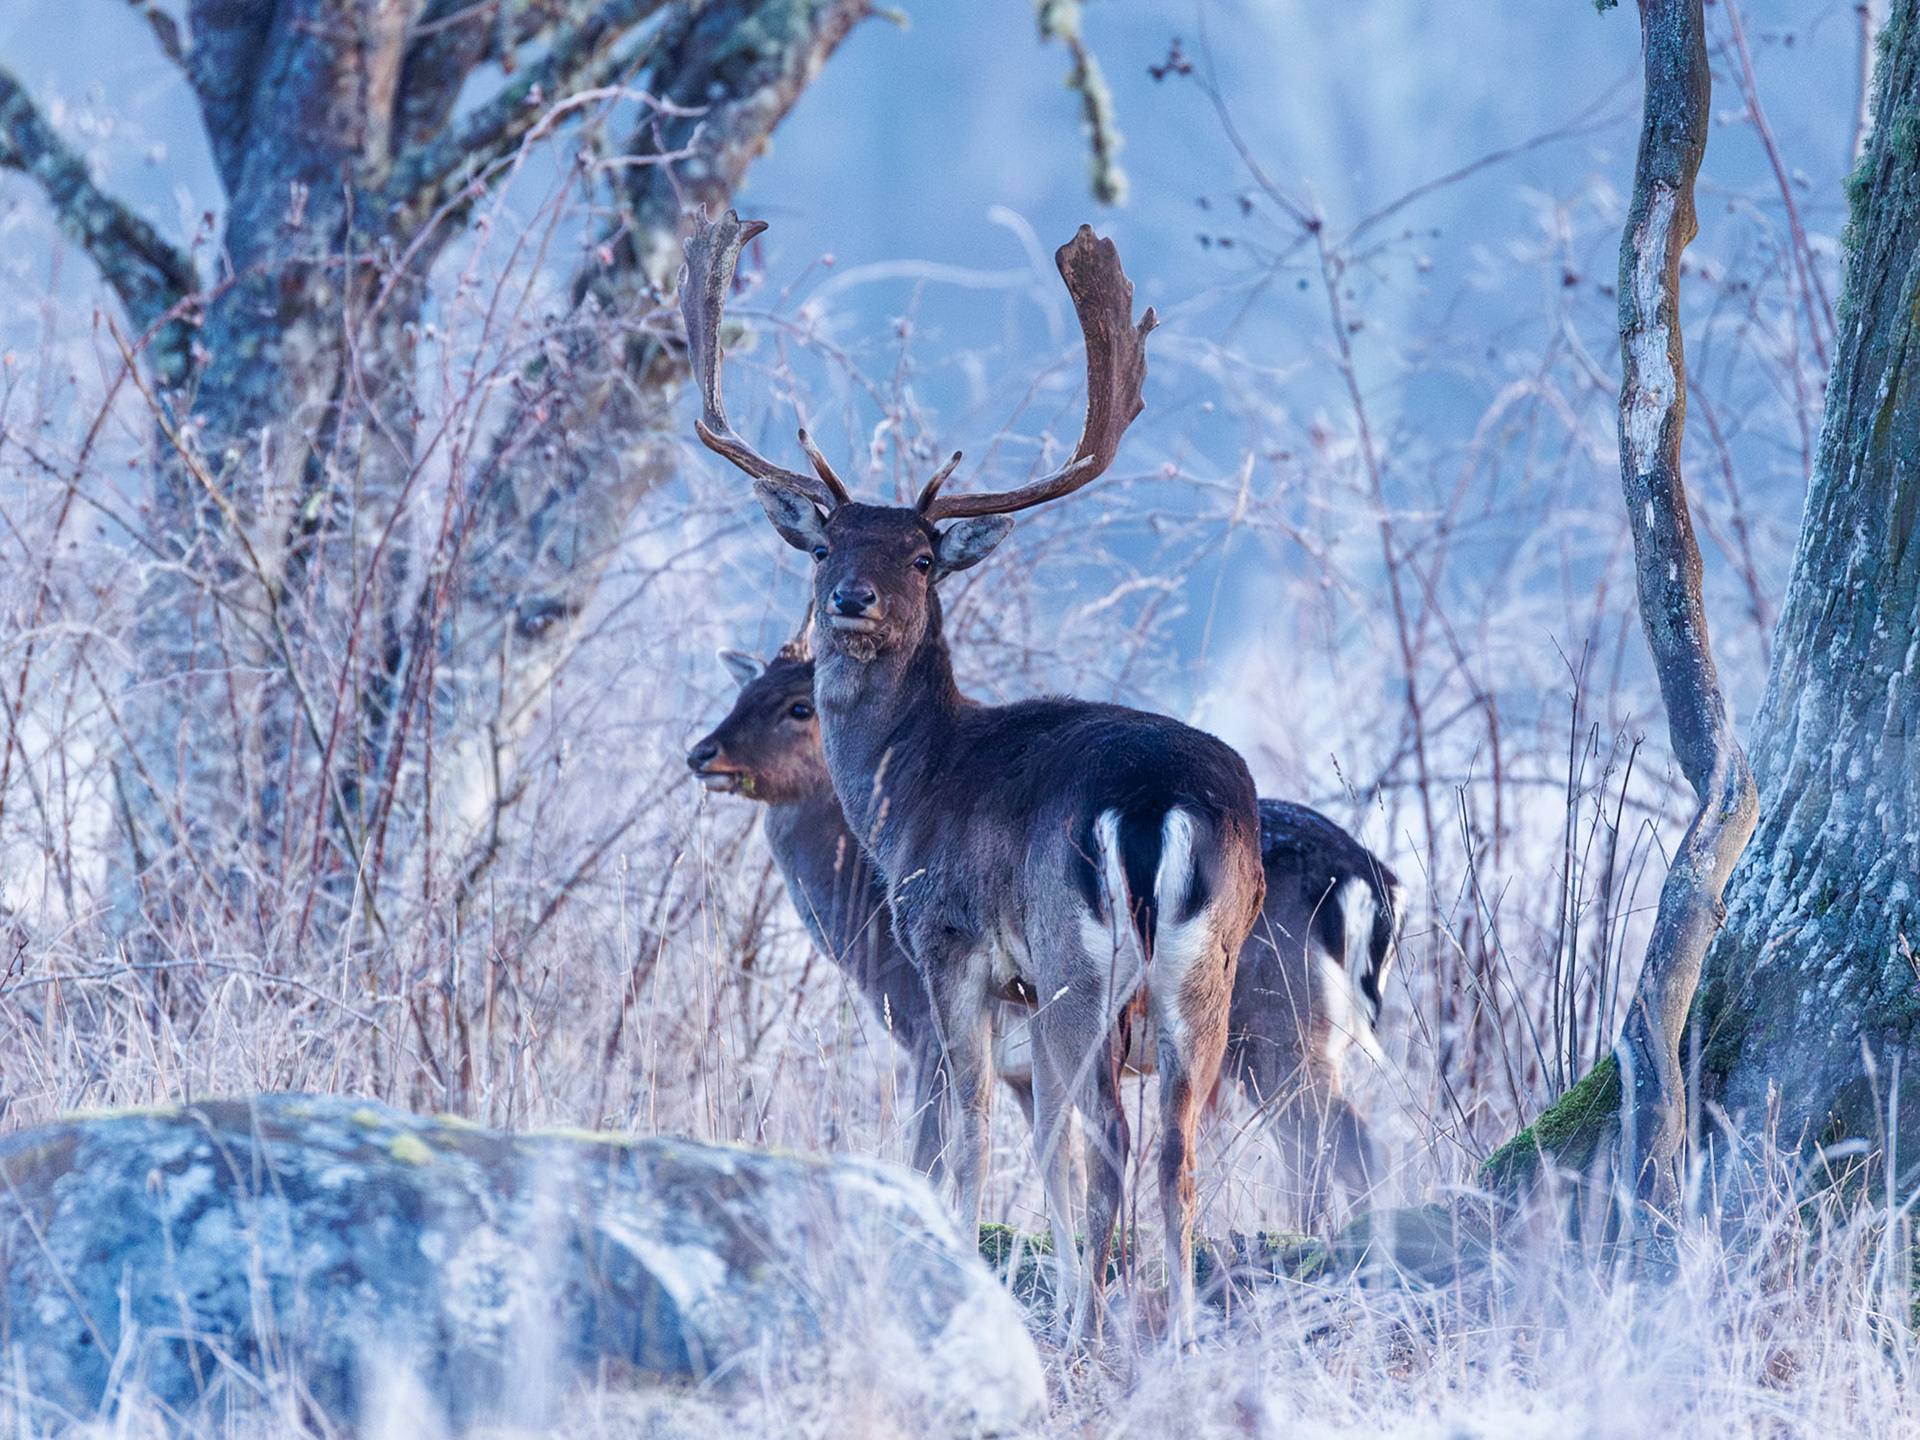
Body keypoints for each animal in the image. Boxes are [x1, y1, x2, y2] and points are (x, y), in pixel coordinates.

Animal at [680, 206, 1266, 1340]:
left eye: (921, 556)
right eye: (825, 547)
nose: (850, 601)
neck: (911, 788)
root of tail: (1157, 805)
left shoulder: (948, 947)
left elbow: (964, 1140)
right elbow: (1023, 1154)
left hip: (1079, 959)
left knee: (1110, 1143)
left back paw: (1086, 1333)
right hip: (1202, 968)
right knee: (1176, 1151)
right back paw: (1174, 1337)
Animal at [687, 635, 1402, 1227]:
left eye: (798, 706)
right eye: (743, 693)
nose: (702, 752)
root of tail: (1367, 876)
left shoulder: (928, 1031)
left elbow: (928, 1157)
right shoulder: (1022, 1068)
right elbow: (1062, 1163)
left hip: (1281, 1025)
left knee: (1342, 1146)